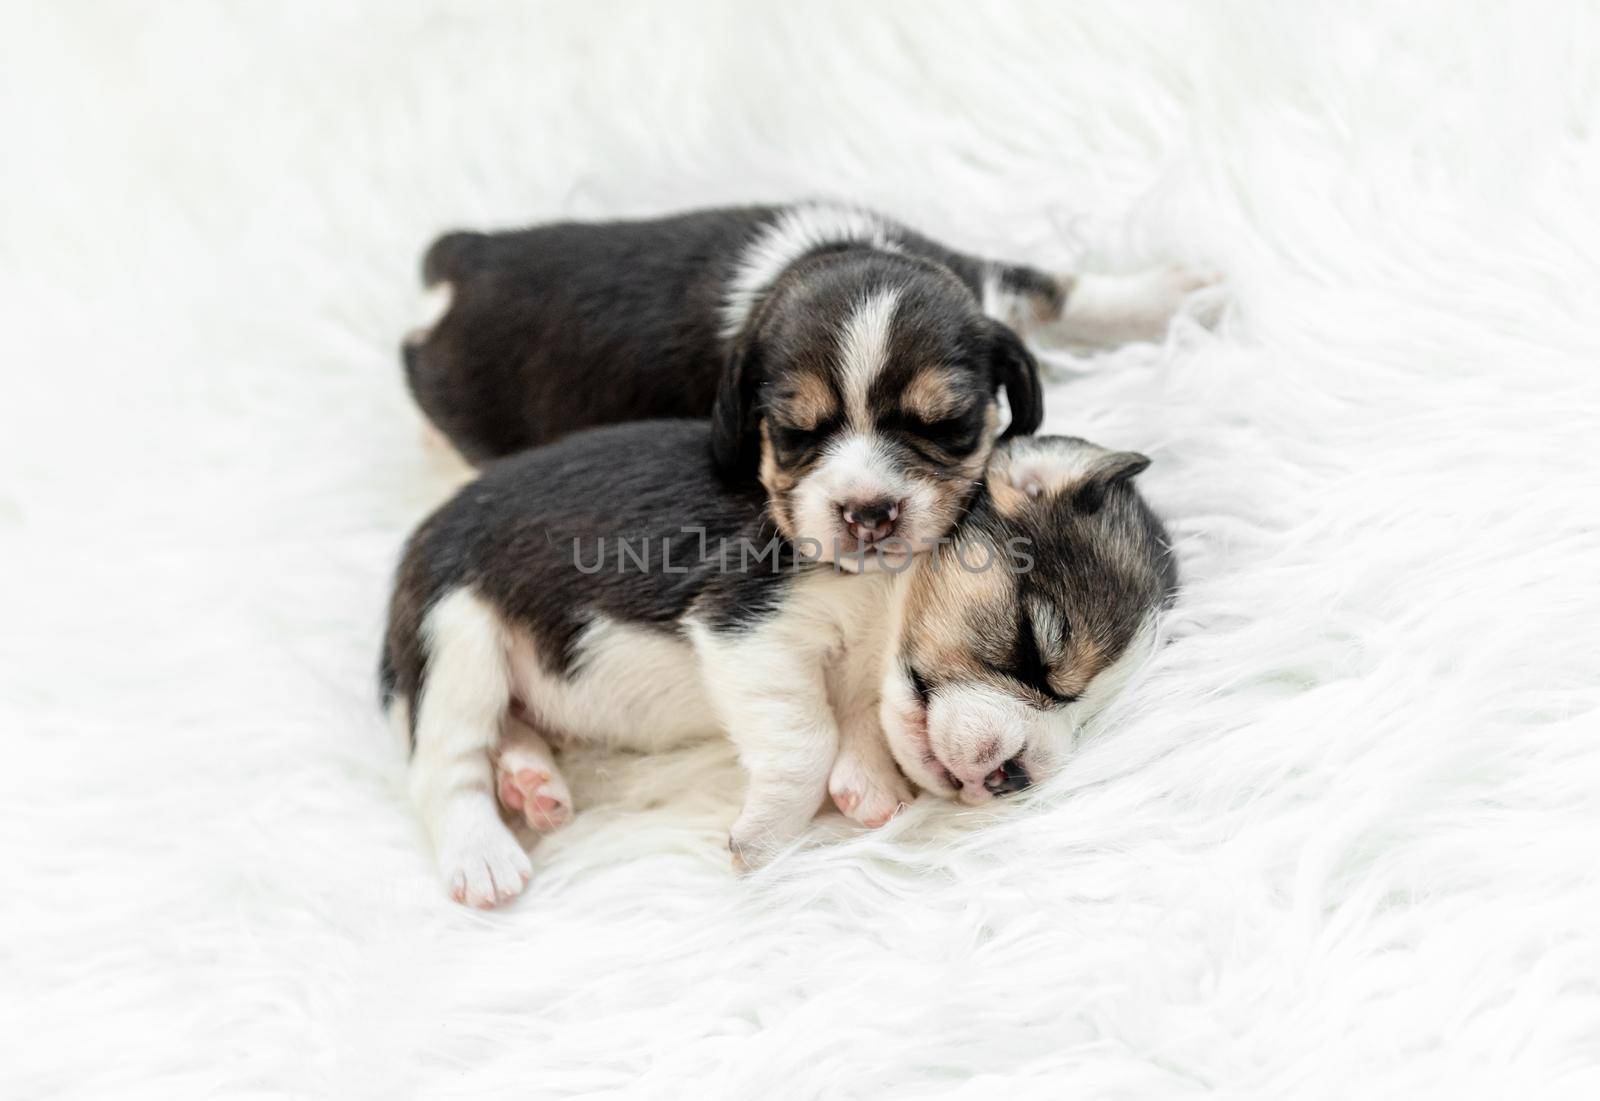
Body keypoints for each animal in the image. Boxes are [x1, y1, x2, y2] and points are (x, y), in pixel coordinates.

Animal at [377, 416, 1177, 908]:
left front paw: (867, 783)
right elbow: (806, 741)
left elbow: (859, 719)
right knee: (444, 763)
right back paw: (483, 857)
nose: (1018, 775)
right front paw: (764, 838)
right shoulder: (748, 625)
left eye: (1086, 722)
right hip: (458, 635)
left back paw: (532, 782)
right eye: (1035, 648)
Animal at [403, 203, 1209, 566]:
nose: (869, 515)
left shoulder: (983, 283)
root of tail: (465, 259)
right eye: (793, 434)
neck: (828, 253)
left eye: (945, 425)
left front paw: (1180, 291)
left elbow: (1057, 288)